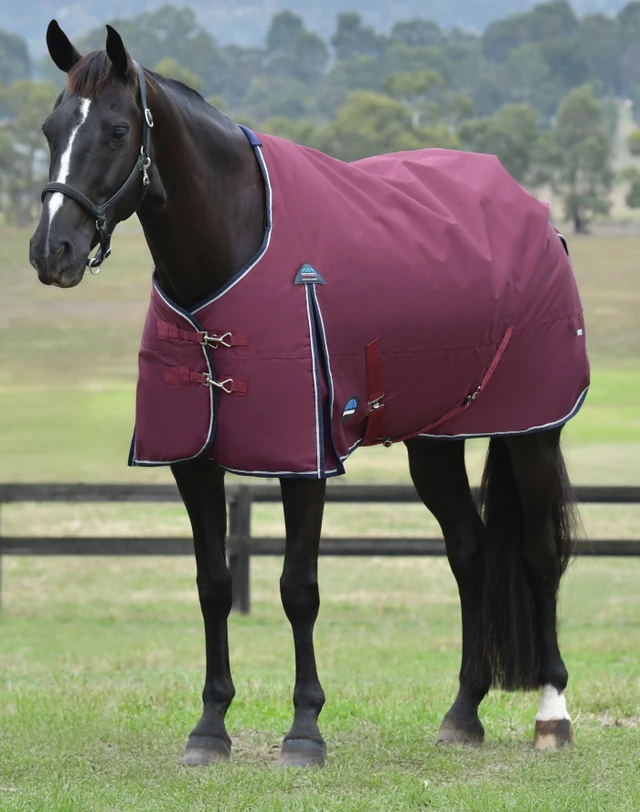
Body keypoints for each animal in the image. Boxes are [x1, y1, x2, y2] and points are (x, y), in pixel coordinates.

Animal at [29, 21, 589, 768]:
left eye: (118, 130)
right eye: (50, 127)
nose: (50, 251)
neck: (233, 251)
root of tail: (537, 216)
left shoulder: (305, 460)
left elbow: (299, 589)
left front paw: (304, 730)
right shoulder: (192, 461)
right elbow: (214, 584)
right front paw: (210, 728)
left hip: (532, 433)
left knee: (539, 554)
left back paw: (552, 714)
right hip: (435, 443)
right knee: (468, 553)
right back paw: (463, 713)